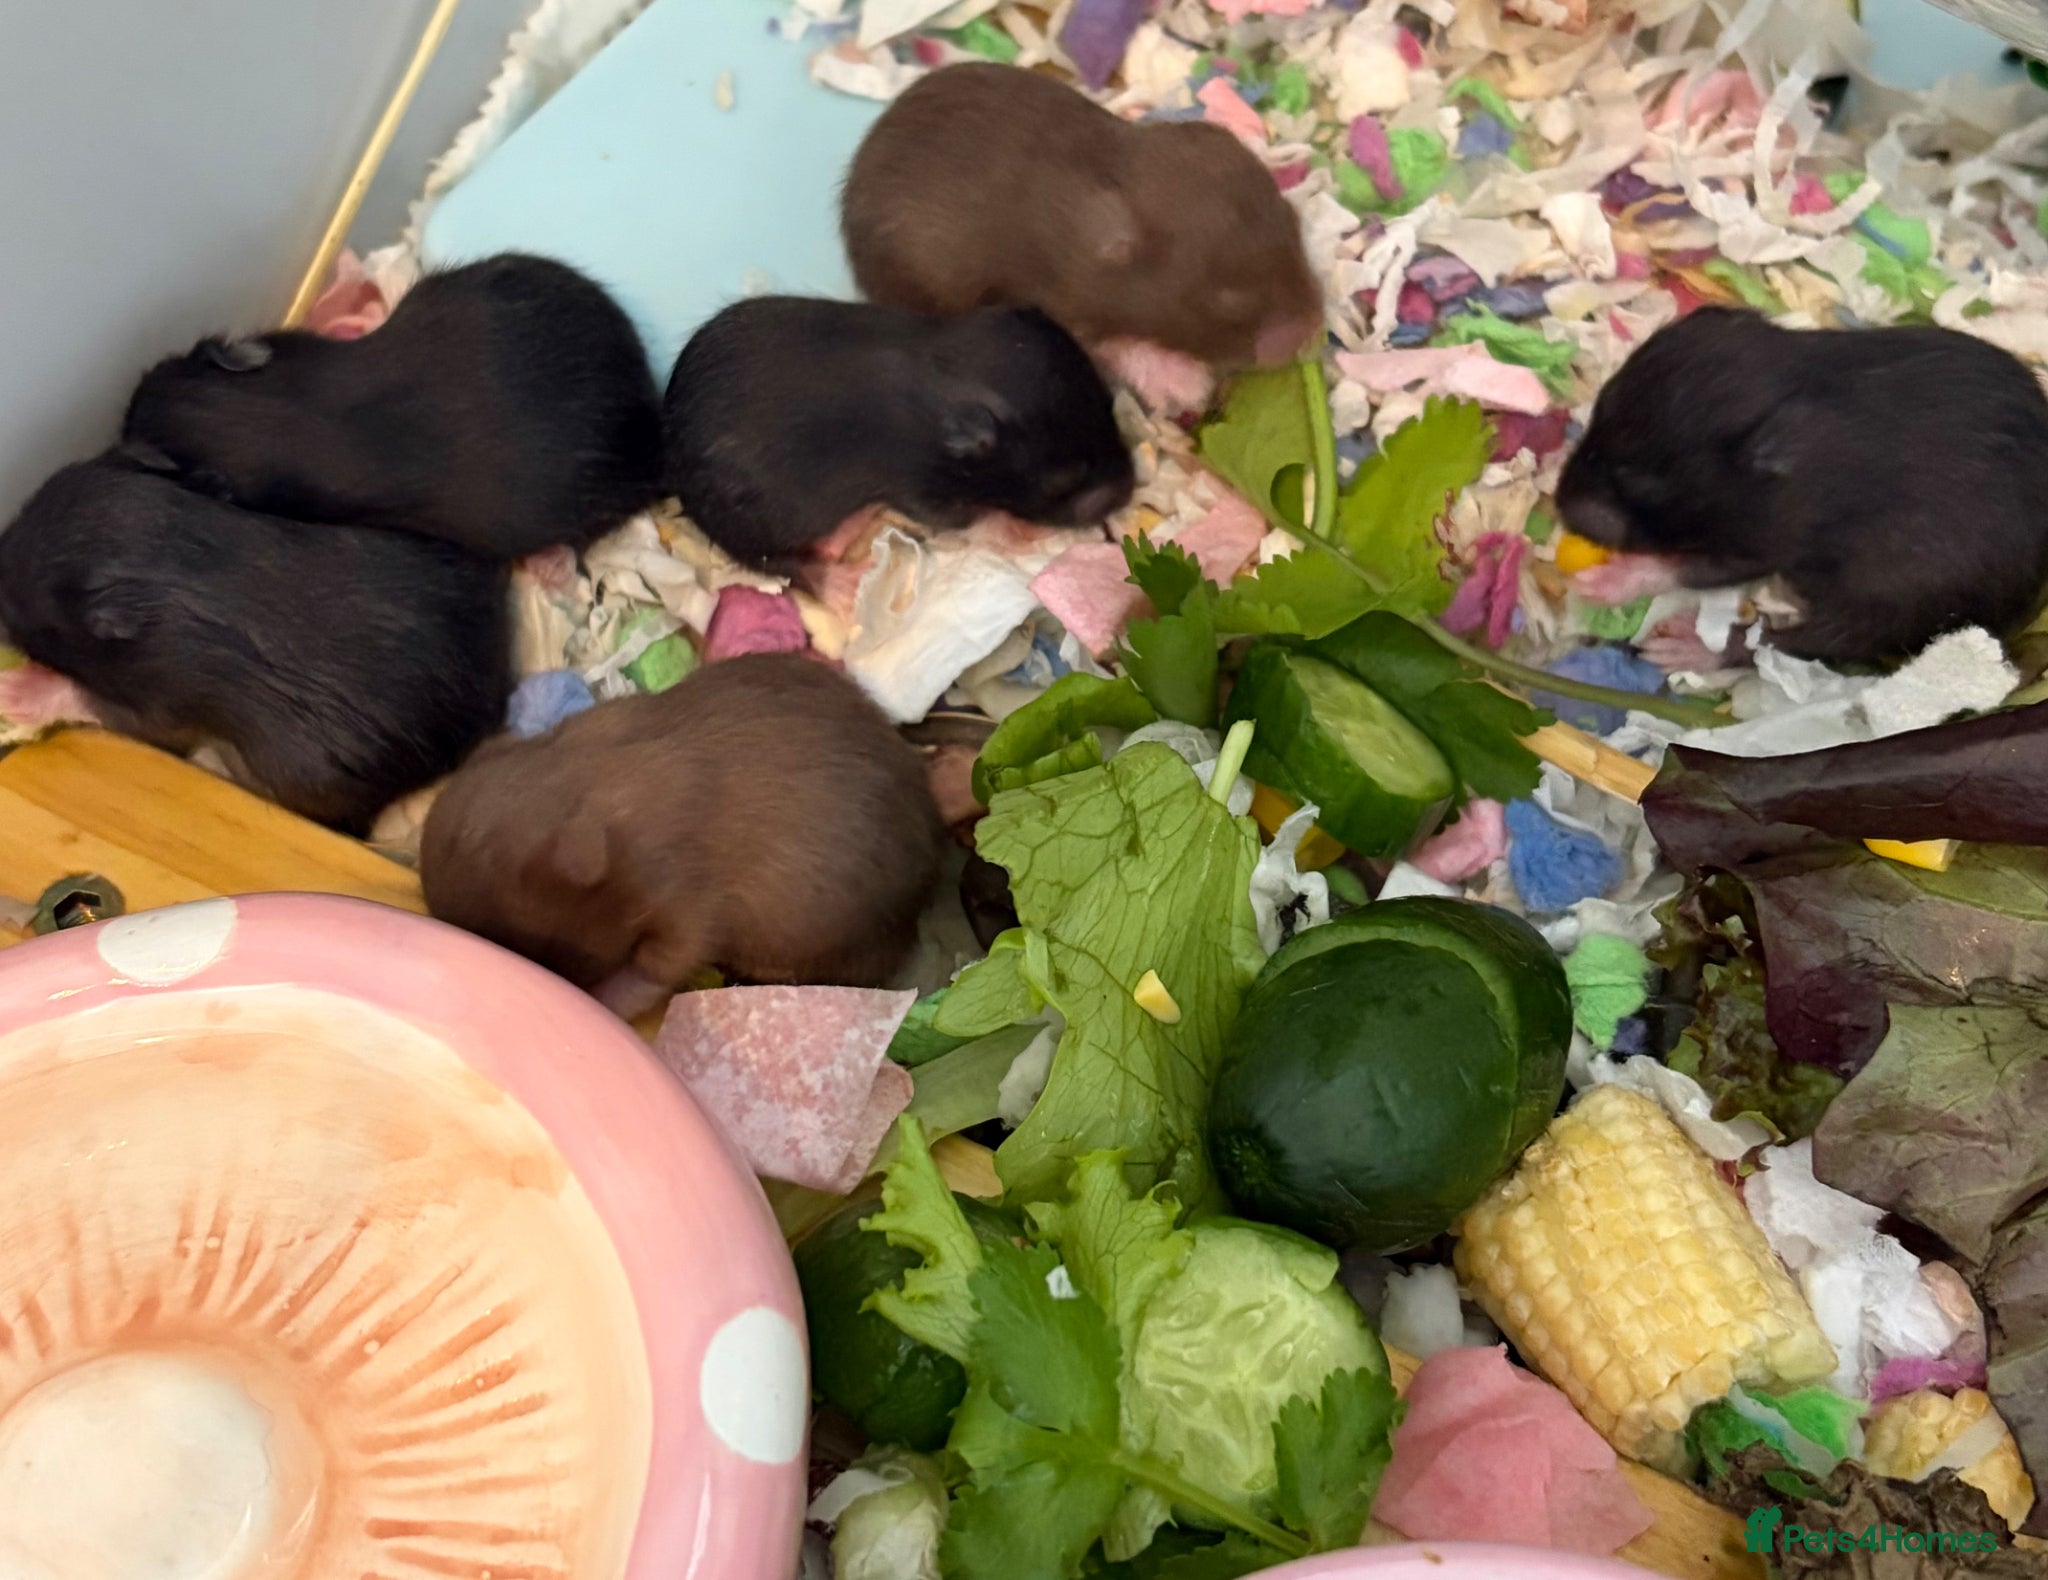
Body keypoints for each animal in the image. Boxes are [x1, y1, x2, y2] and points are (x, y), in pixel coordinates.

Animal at [663, 297, 1134, 564]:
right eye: (1061, 482)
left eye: (1111, 405)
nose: (1128, 493)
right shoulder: (921, 488)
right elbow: (965, 520)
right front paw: (1019, 532)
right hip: (768, 524)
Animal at [1556, 307, 2048, 664]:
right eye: (1598, 408)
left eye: (1643, 482)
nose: (1560, 507)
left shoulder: (1767, 538)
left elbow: (1688, 568)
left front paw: (1604, 583)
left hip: (1895, 603)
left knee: (1791, 645)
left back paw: (1685, 648)